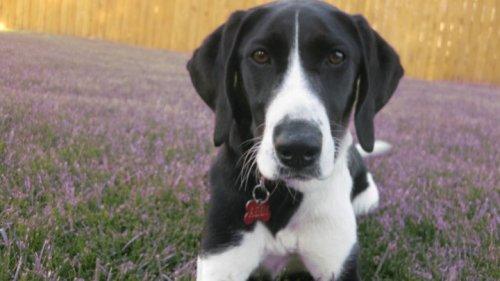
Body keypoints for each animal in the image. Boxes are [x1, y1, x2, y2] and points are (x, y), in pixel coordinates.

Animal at [187, 1, 402, 278]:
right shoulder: (222, 257)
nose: (298, 147)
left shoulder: (338, 264)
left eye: (336, 57)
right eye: (260, 55)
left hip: (368, 200)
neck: (286, 195)